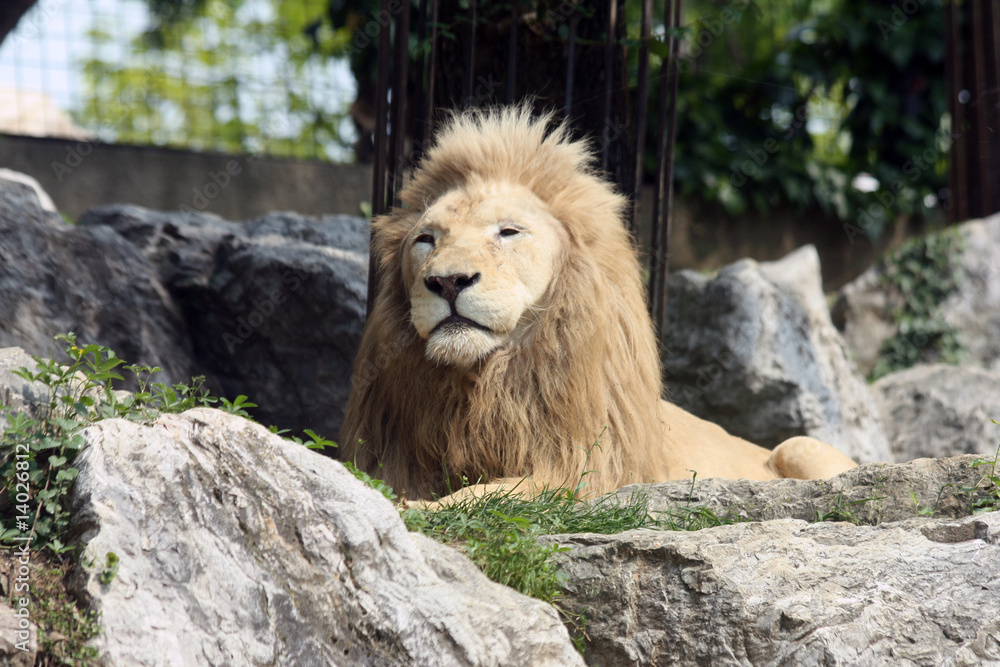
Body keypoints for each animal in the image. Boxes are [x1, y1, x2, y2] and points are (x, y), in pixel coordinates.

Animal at [340, 105, 857, 502]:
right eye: (426, 240)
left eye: (508, 232)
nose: (447, 282)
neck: (483, 383)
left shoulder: (580, 471)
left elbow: (482, 495)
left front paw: (414, 508)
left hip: (800, 445)